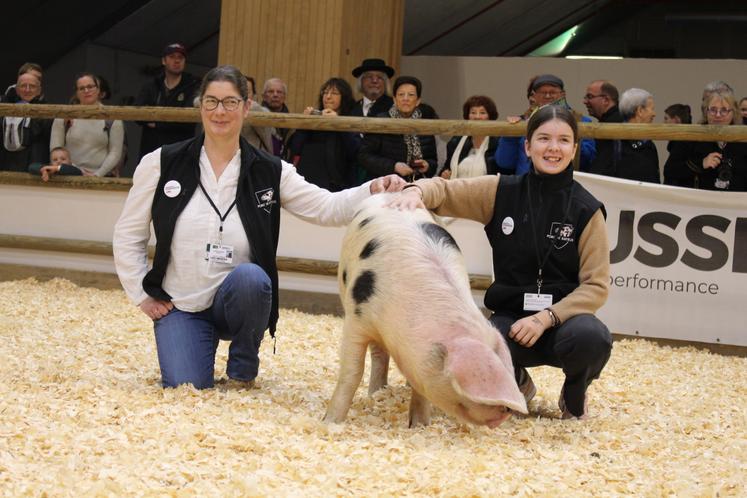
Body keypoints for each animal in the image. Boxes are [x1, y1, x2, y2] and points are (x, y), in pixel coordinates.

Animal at [324, 195, 528, 428]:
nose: (508, 411)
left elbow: (420, 387)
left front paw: (419, 425)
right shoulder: (357, 319)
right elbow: (352, 372)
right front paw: (330, 421)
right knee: (378, 355)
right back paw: (375, 393)